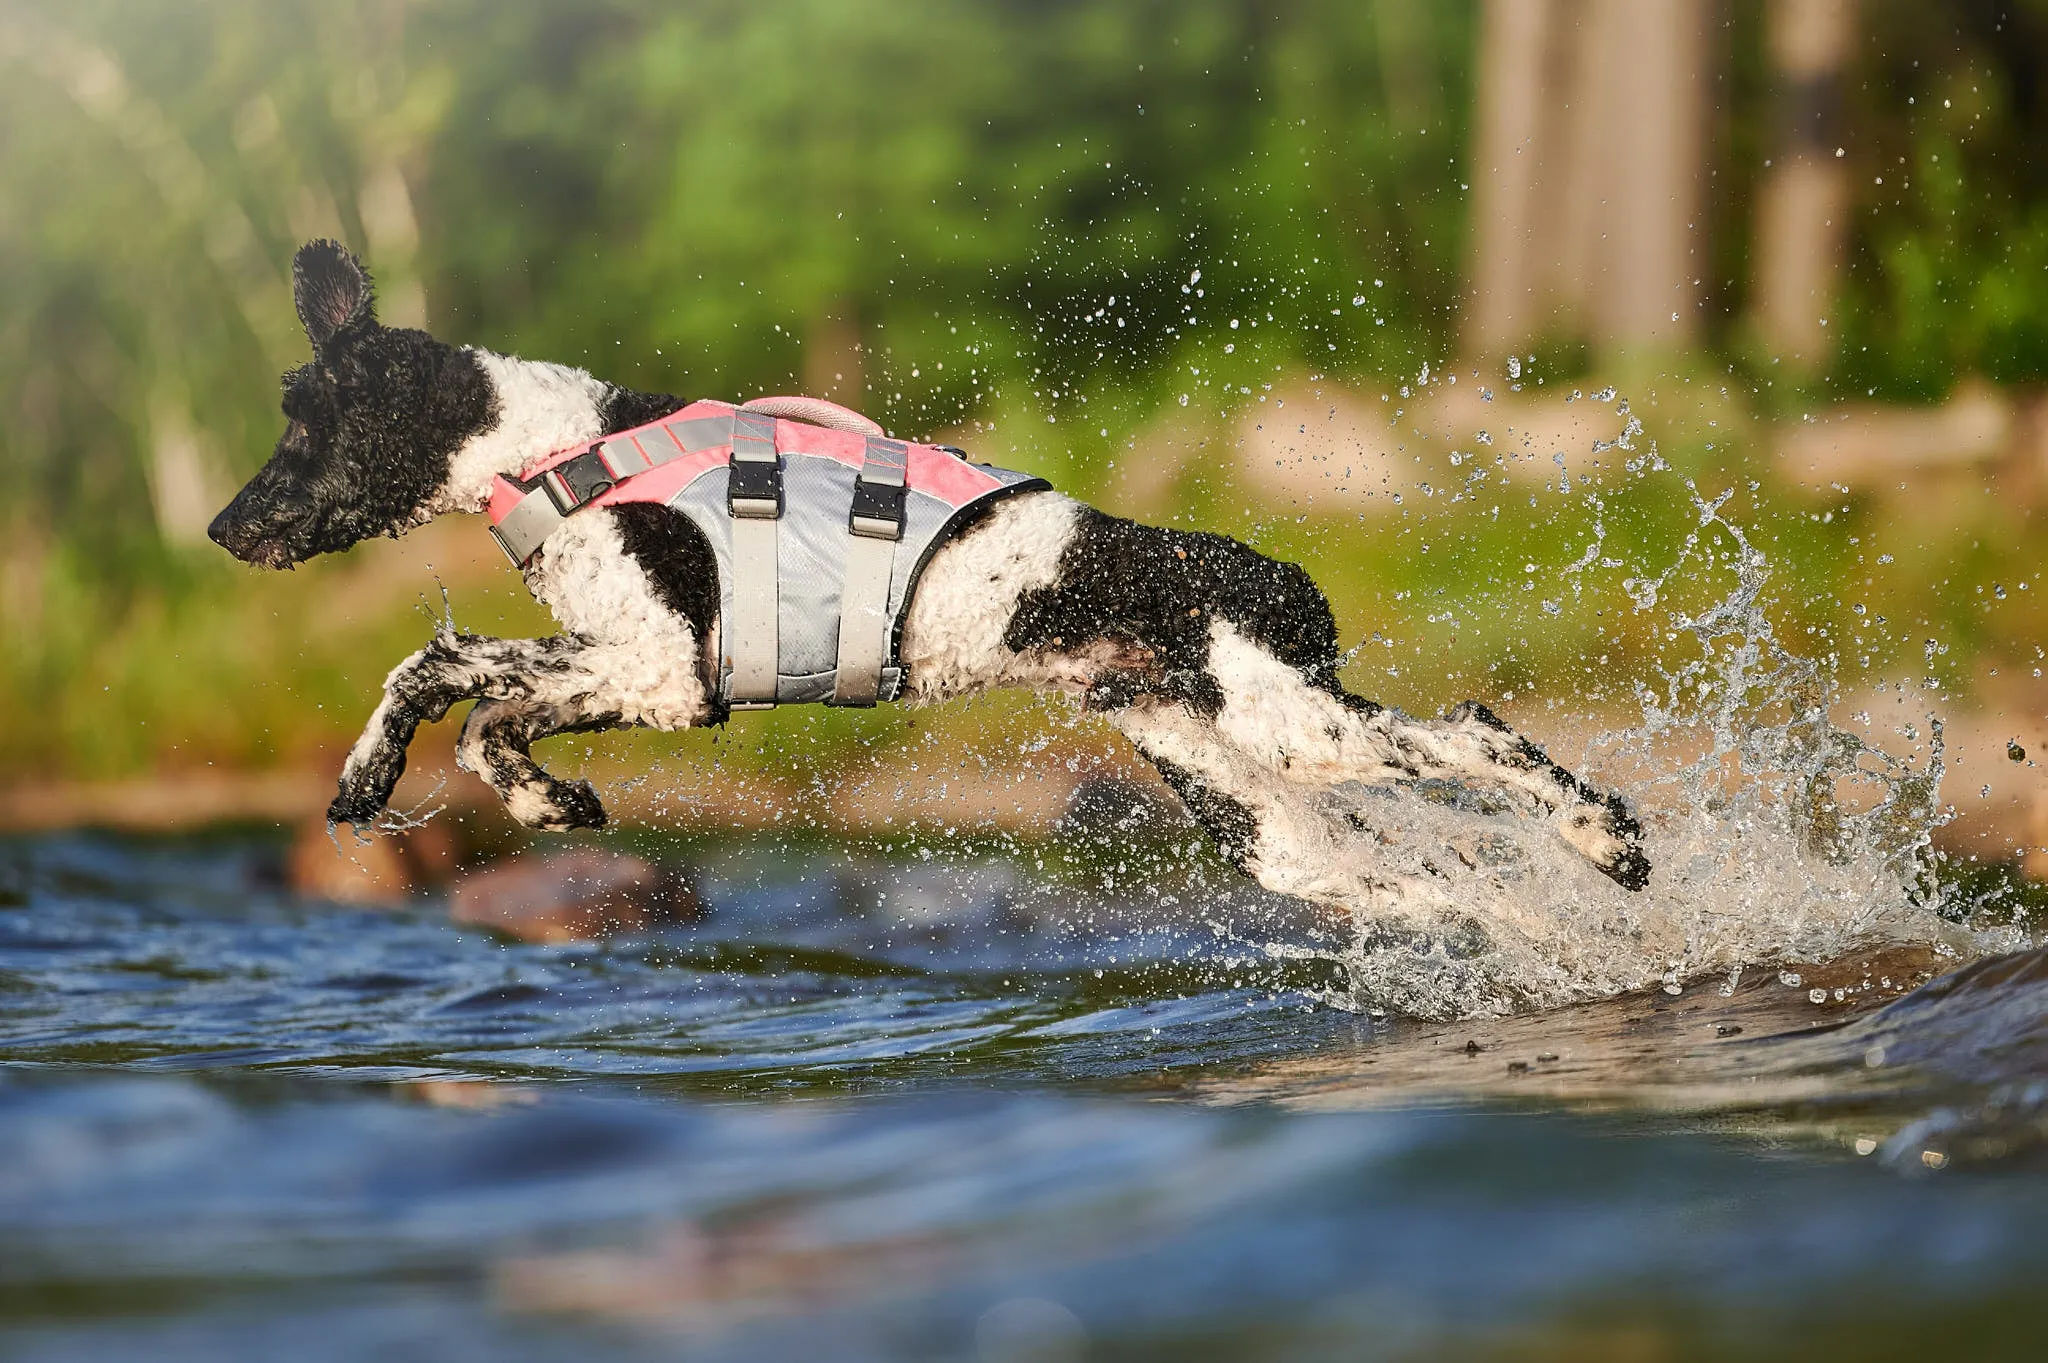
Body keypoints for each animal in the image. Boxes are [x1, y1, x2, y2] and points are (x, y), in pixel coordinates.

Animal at [207, 241, 1646, 900]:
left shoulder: (668, 671)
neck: (563, 448)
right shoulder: (616, 656)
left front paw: (533, 787)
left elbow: (479, 702)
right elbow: (440, 672)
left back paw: (1606, 838)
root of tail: (1266, 566)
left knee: (1479, 734)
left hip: (1296, 726)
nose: (223, 528)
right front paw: (403, 779)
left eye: (302, 426)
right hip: (1255, 806)